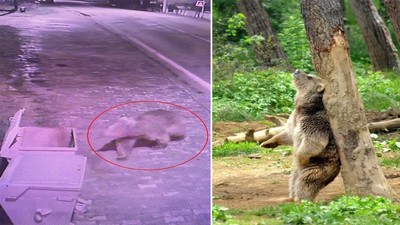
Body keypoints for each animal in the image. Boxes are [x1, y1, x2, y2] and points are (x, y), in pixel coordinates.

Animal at [262, 69, 340, 201]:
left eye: (309, 77)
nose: (297, 70)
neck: (304, 107)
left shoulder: (314, 121)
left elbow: (314, 141)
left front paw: (301, 157)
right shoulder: (294, 119)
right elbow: (288, 134)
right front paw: (266, 143)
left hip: (319, 167)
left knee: (306, 182)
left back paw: (300, 199)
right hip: (296, 172)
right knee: (293, 181)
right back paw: (291, 197)